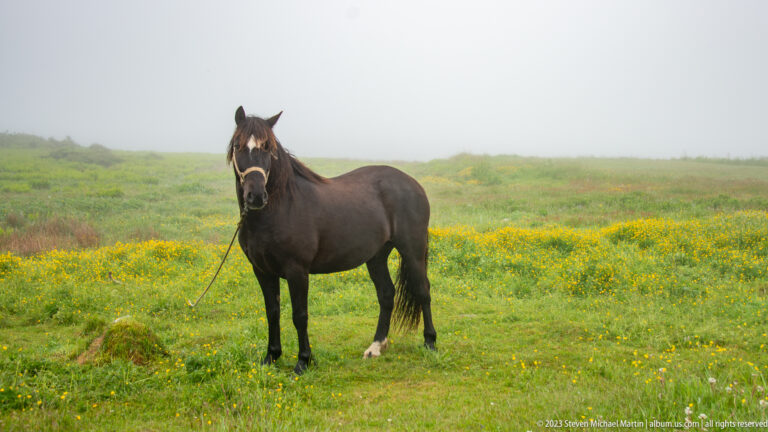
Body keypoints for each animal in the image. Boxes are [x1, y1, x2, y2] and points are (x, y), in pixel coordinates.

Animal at [227, 106, 437, 374]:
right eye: (238, 145)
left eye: (267, 148)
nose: (255, 196)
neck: (281, 207)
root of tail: (413, 184)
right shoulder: (262, 271)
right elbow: (272, 311)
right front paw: (271, 357)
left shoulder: (297, 271)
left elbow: (300, 315)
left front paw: (303, 361)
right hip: (376, 256)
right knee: (386, 294)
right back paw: (376, 346)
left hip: (412, 250)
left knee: (422, 290)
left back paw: (430, 342)